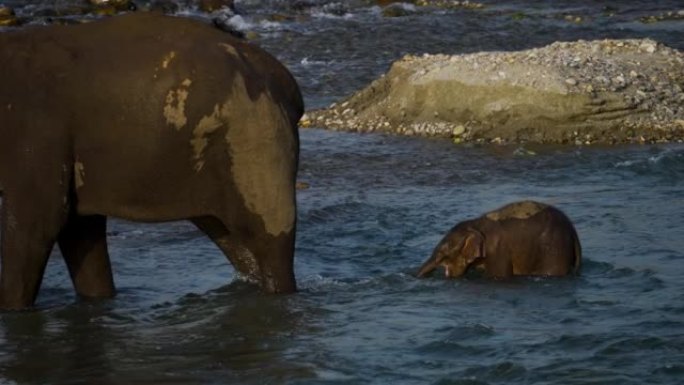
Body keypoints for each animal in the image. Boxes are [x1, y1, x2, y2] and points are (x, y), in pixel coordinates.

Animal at [0, 11, 304, 308]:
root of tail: (287, 84)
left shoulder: (37, 133)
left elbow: (39, 224)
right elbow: (79, 229)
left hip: (257, 141)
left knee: (267, 244)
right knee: (231, 237)